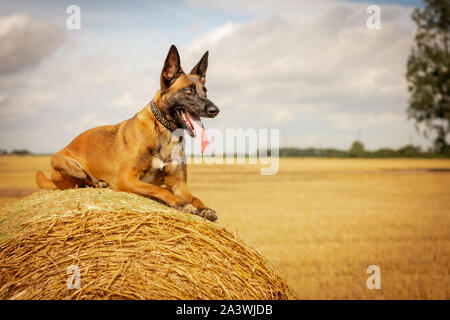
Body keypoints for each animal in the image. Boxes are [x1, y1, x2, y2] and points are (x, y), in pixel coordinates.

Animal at [37, 43, 221, 221]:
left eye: (205, 91)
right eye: (189, 90)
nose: (215, 110)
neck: (165, 132)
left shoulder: (179, 185)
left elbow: (195, 198)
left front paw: (205, 208)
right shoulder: (127, 178)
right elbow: (158, 189)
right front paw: (181, 204)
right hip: (71, 167)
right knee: (84, 182)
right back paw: (100, 183)